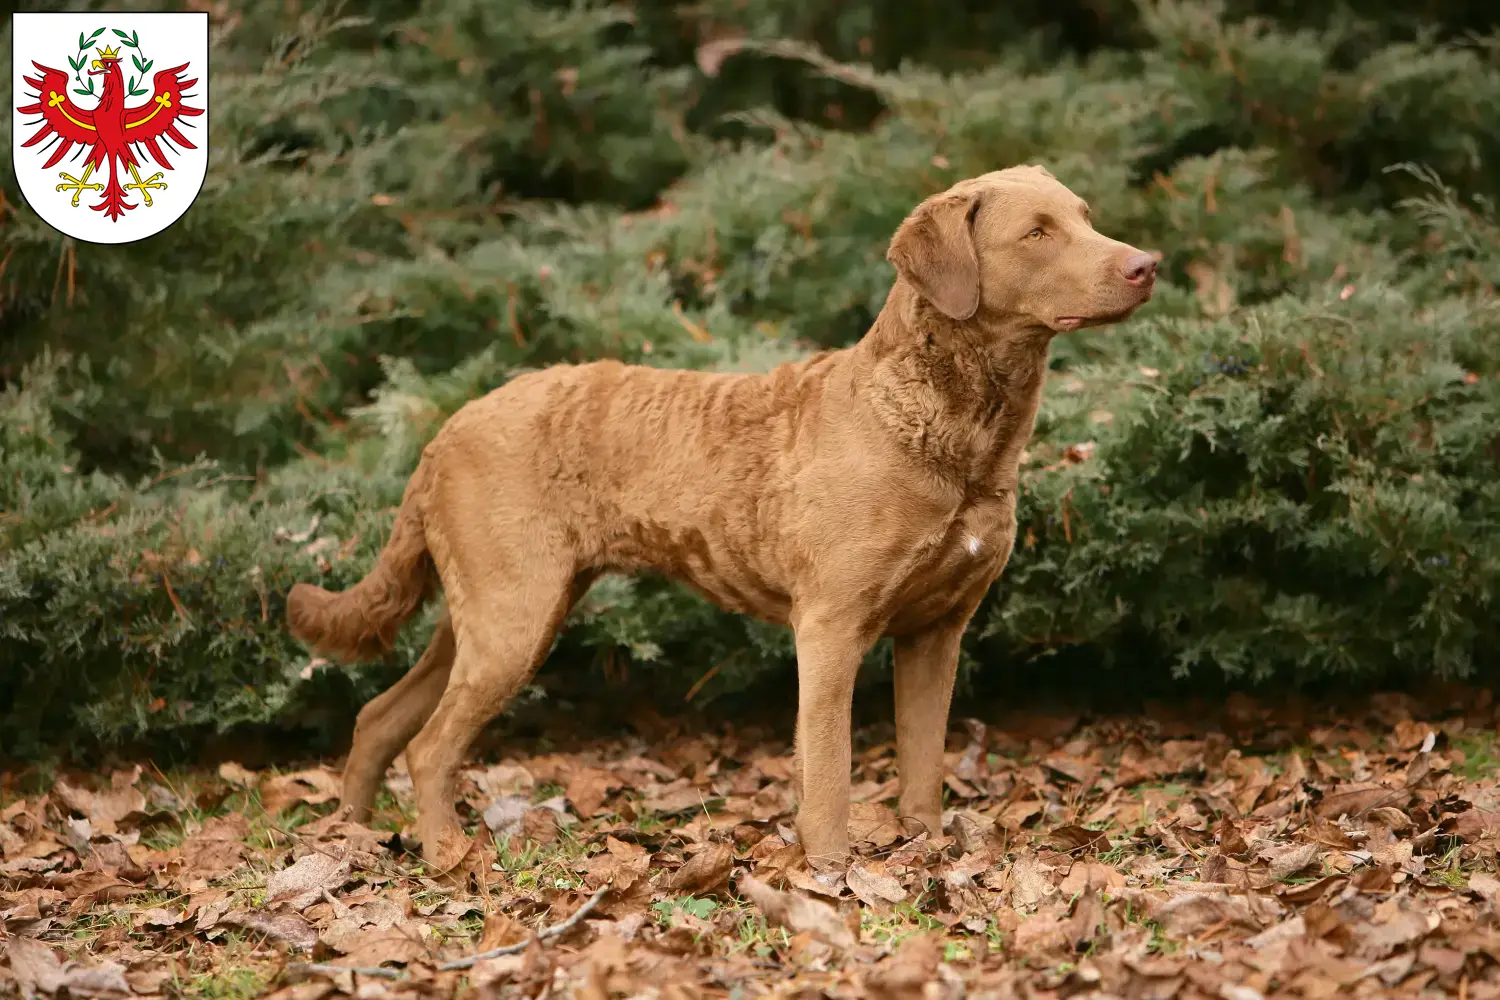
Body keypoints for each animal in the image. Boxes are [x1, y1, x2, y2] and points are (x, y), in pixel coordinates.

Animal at [286, 162, 1152, 869]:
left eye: (1085, 216)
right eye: (1036, 233)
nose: (1148, 265)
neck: (947, 431)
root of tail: (444, 430)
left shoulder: (937, 631)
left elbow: (922, 762)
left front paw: (925, 851)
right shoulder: (831, 626)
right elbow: (828, 768)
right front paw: (832, 872)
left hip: (492, 613)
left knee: (379, 717)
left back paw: (352, 837)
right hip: (512, 617)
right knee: (428, 745)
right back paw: (446, 854)